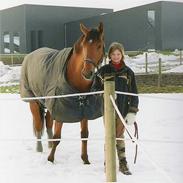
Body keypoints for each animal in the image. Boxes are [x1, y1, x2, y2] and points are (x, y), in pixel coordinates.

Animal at [20, 22, 104, 164]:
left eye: (99, 45)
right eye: (84, 46)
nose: (87, 73)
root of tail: (30, 55)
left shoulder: (84, 109)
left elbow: (84, 135)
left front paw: (85, 160)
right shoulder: (60, 110)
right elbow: (57, 136)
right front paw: (50, 159)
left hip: (48, 105)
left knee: (48, 123)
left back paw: (49, 145)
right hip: (34, 102)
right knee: (38, 125)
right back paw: (39, 148)